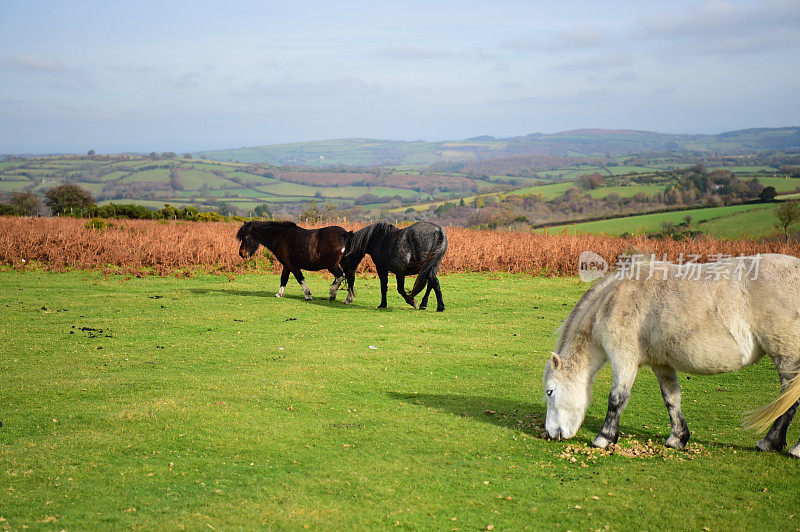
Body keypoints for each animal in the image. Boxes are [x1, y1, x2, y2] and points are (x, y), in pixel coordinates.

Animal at [544, 254, 800, 458]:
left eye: (550, 391)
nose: (549, 434)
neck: (615, 300)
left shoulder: (624, 359)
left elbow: (616, 398)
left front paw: (604, 438)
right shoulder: (662, 364)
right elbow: (671, 399)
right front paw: (677, 438)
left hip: (786, 357)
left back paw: (777, 445)